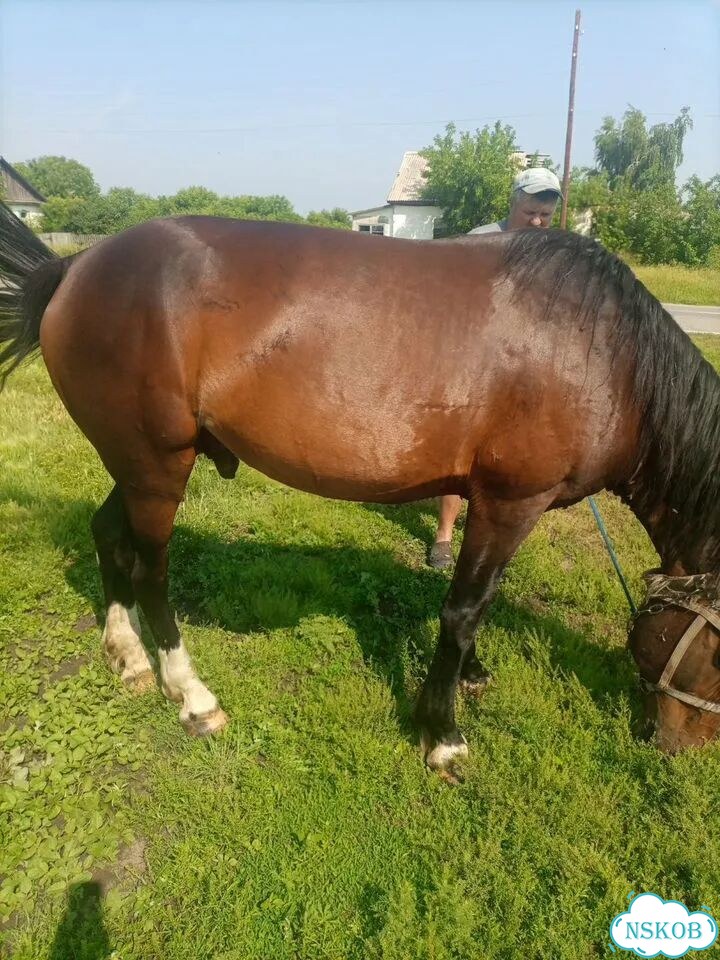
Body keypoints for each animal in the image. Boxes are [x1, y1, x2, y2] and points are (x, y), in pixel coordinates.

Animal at [2, 204, 719, 782]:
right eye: (714, 653)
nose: (683, 748)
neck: (607, 352)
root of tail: (77, 265)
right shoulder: (513, 500)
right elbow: (463, 611)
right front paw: (442, 734)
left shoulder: (488, 501)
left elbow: (477, 600)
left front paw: (471, 676)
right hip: (157, 467)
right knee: (152, 571)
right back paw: (192, 695)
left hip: (136, 463)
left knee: (109, 535)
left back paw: (125, 655)